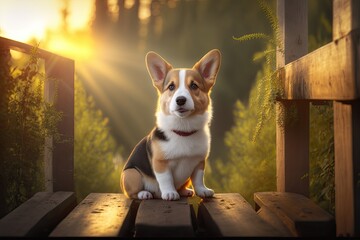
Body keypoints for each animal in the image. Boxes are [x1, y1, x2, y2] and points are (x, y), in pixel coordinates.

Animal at [121, 48, 221, 201]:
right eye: (171, 87)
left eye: (194, 85)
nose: (180, 100)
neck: (184, 130)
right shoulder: (160, 163)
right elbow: (166, 179)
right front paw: (169, 193)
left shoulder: (199, 162)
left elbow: (198, 179)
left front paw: (202, 190)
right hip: (131, 174)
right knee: (131, 192)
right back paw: (144, 193)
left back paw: (185, 191)